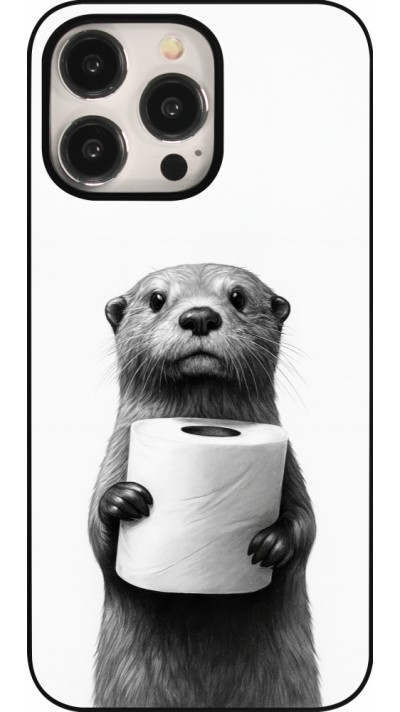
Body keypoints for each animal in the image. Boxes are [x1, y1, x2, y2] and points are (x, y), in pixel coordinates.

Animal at [89, 263, 320, 708]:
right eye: (156, 299)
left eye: (238, 297)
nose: (199, 316)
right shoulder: (114, 458)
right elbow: (97, 539)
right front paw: (122, 501)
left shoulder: (291, 469)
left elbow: (307, 525)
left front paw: (273, 542)